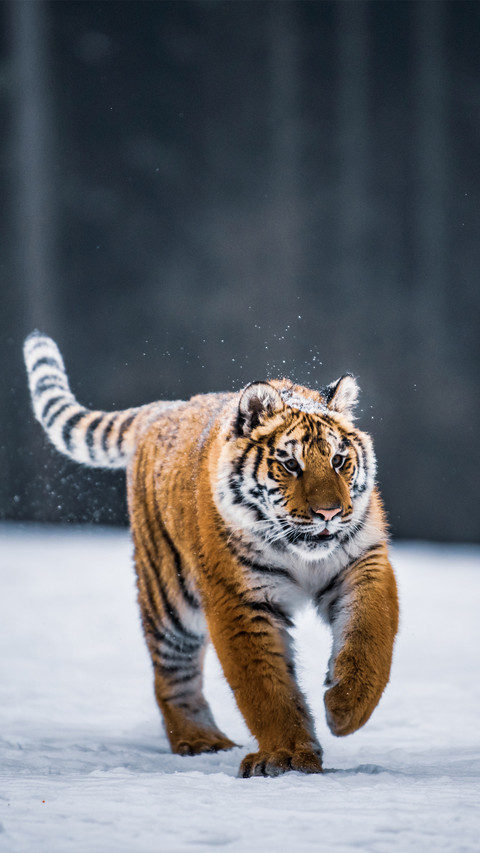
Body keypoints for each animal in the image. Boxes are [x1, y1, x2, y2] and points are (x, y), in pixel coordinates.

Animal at [23, 330, 399, 778]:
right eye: (290, 464)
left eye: (339, 460)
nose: (329, 513)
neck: (298, 551)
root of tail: (168, 407)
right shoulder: (240, 598)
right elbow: (266, 687)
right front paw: (288, 755)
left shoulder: (362, 563)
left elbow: (369, 636)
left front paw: (346, 709)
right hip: (170, 600)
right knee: (171, 675)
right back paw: (201, 741)